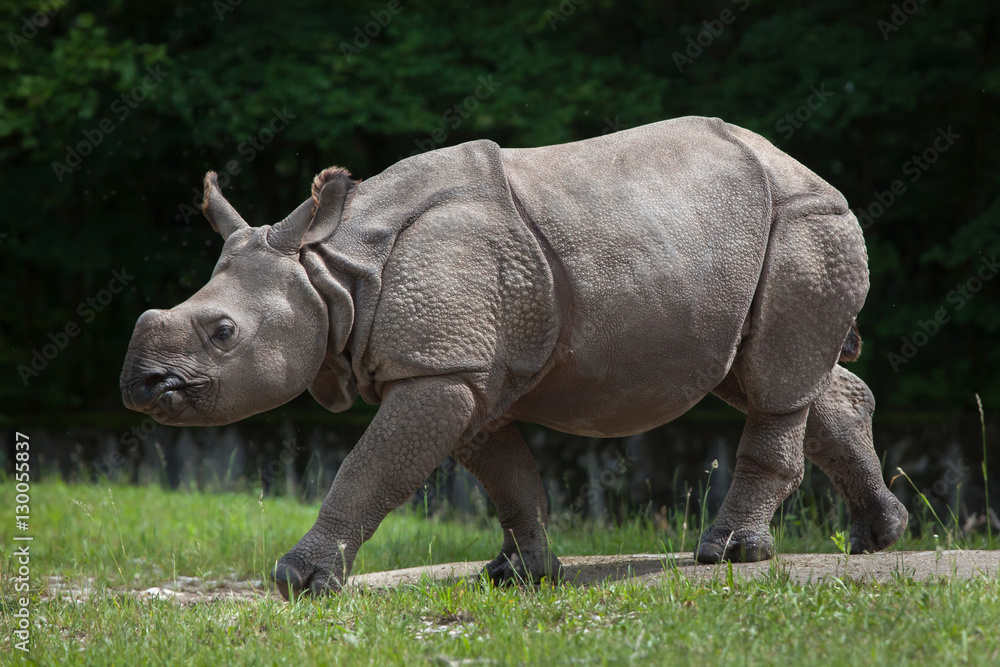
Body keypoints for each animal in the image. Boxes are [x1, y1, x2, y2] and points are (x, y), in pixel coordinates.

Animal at [120, 116, 908, 599]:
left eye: (222, 332)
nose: (139, 387)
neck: (329, 271)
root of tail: (811, 171)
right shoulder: (469, 371)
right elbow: (508, 477)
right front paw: (520, 574)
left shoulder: (439, 368)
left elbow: (368, 467)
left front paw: (298, 582)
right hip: (748, 241)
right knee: (770, 375)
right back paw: (879, 537)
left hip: (805, 220)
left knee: (774, 381)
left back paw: (729, 555)